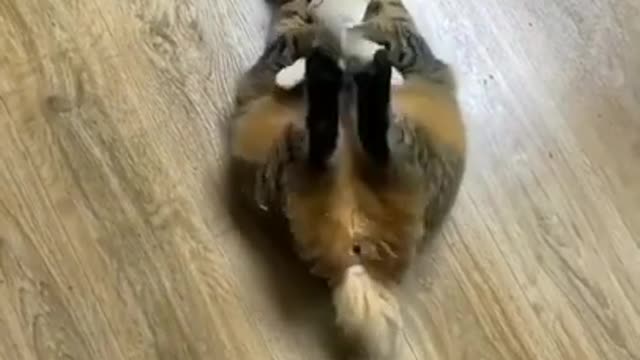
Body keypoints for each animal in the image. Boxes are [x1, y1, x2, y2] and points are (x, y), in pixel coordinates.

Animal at [229, 0, 464, 358]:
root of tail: (353, 257)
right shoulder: (291, 32)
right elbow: (308, 41)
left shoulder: (400, 36)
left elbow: (364, 36)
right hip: (287, 161)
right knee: (331, 136)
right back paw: (331, 76)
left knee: (365, 134)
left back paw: (355, 75)